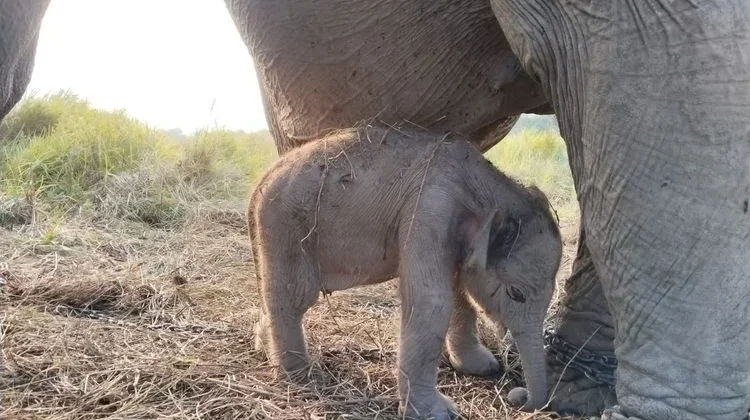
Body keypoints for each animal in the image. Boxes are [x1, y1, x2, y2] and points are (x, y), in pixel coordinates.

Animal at [248, 126, 563, 418]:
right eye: (516, 293)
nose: (517, 396)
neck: (485, 182)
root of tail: (260, 181)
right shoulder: (430, 208)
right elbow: (432, 300)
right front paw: (439, 412)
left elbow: (456, 288)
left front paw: (482, 367)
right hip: (285, 226)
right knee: (294, 298)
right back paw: (298, 376)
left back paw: (264, 349)